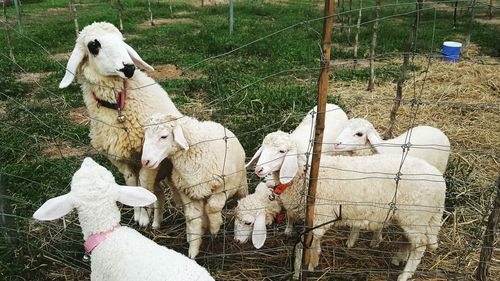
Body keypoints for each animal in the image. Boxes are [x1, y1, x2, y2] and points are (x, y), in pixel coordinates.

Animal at [57, 21, 182, 228]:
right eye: (93, 45)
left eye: (121, 40)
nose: (129, 68)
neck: (119, 110)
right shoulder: (119, 158)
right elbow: (132, 183)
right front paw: (140, 214)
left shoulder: (149, 156)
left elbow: (143, 183)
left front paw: (144, 216)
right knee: (157, 191)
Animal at [142, 112, 249, 258]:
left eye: (164, 136)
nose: (145, 161)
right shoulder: (187, 192)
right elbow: (193, 219)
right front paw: (193, 250)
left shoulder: (225, 185)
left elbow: (213, 207)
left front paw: (215, 227)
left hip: (241, 182)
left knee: (242, 197)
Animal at [249, 131, 446, 280]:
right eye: (263, 148)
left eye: (281, 151)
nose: (259, 169)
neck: (305, 176)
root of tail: (440, 181)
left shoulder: (320, 215)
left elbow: (312, 241)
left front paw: (311, 264)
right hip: (409, 216)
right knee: (409, 240)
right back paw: (398, 259)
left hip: (415, 215)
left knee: (419, 246)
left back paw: (404, 275)